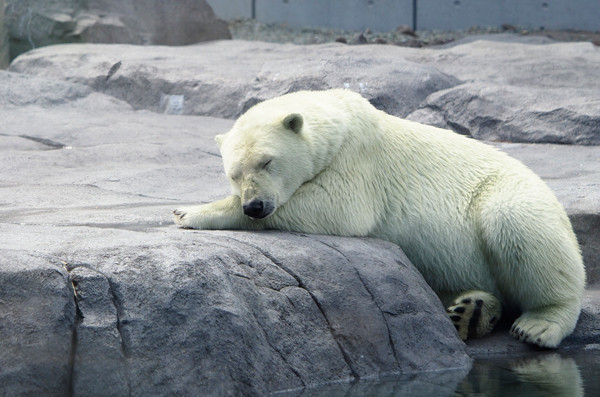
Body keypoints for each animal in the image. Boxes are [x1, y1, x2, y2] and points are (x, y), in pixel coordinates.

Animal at [173, 89, 584, 346]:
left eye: (266, 161)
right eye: (233, 173)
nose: (255, 206)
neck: (340, 122)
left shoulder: (359, 161)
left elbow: (337, 205)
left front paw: (189, 211)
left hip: (511, 197)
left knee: (520, 229)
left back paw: (539, 324)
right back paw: (470, 311)